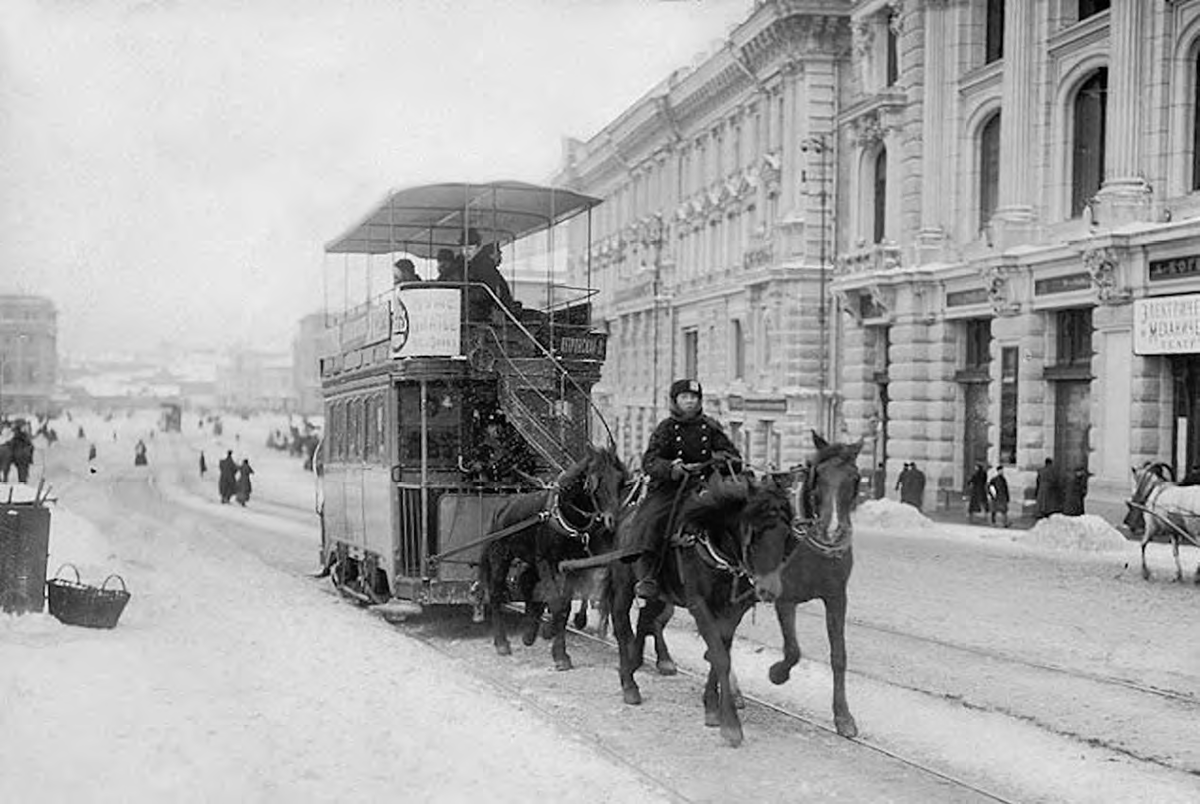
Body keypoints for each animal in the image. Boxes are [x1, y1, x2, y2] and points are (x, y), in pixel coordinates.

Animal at [475, 446, 628, 672]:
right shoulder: (547, 562)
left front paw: (554, 643)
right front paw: (559, 654)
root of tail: (502, 507)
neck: (565, 516)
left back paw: (530, 631)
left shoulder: (572, 566)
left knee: (527, 582)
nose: (613, 521)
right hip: (501, 556)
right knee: (496, 592)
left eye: (620, 479)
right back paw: (501, 642)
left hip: (529, 559)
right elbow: (557, 604)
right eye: (594, 481)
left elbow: (564, 606)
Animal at [600, 465, 796, 748]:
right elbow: (720, 656)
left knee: (647, 618)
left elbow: (719, 654)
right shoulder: (700, 606)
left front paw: (712, 708)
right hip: (625, 584)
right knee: (621, 622)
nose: (768, 589)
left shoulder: (731, 614)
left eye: (786, 534)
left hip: (660, 594)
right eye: (753, 531)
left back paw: (641, 662)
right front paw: (731, 725)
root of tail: (627, 514)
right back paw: (629, 683)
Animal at [748, 432, 864, 739]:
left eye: (855, 478)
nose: (832, 530)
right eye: (818, 476)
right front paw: (777, 673)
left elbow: (839, 655)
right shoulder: (784, 598)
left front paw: (843, 716)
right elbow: (793, 650)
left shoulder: (836, 597)